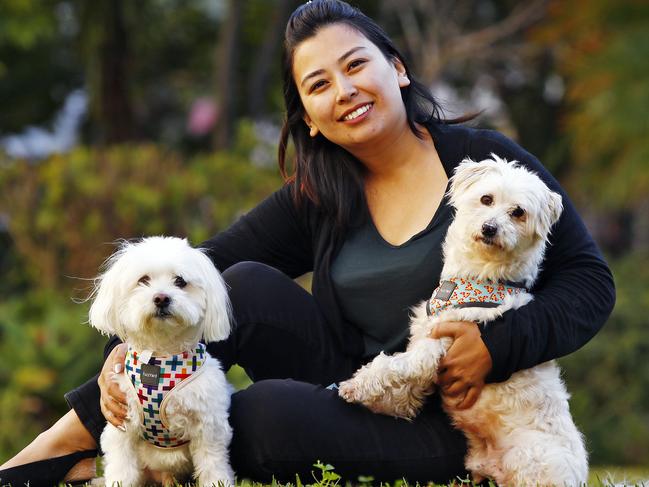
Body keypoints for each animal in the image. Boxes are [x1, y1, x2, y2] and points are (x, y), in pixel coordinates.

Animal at [89, 237, 233, 487]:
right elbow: (121, 469)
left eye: (180, 281)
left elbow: (212, 464)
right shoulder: (122, 424)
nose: (161, 298)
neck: (161, 358)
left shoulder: (209, 425)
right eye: (143, 280)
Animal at [340, 156, 588, 487]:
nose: (490, 228)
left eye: (518, 212)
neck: (476, 279)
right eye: (486, 199)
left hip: (530, 462)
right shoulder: (424, 343)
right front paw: (391, 404)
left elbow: (391, 365)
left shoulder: (436, 348)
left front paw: (356, 385)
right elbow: (406, 383)